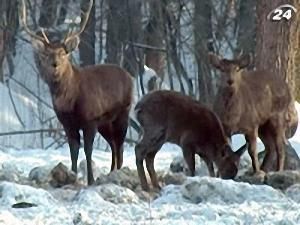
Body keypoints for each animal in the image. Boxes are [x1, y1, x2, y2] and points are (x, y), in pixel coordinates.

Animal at [20, 0, 133, 185]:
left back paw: (117, 172)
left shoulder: (90, 120)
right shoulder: (67, 123)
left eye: (63, 53)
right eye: (47, 54)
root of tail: (130, 76)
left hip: (123, 112)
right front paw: (71, 175)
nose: (55, 64)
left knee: (120, 145)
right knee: (113, 145)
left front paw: (91, 180)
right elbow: (73, 150)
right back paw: (111, 172)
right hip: (105, 123)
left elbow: (88, 150)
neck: (69, 101)